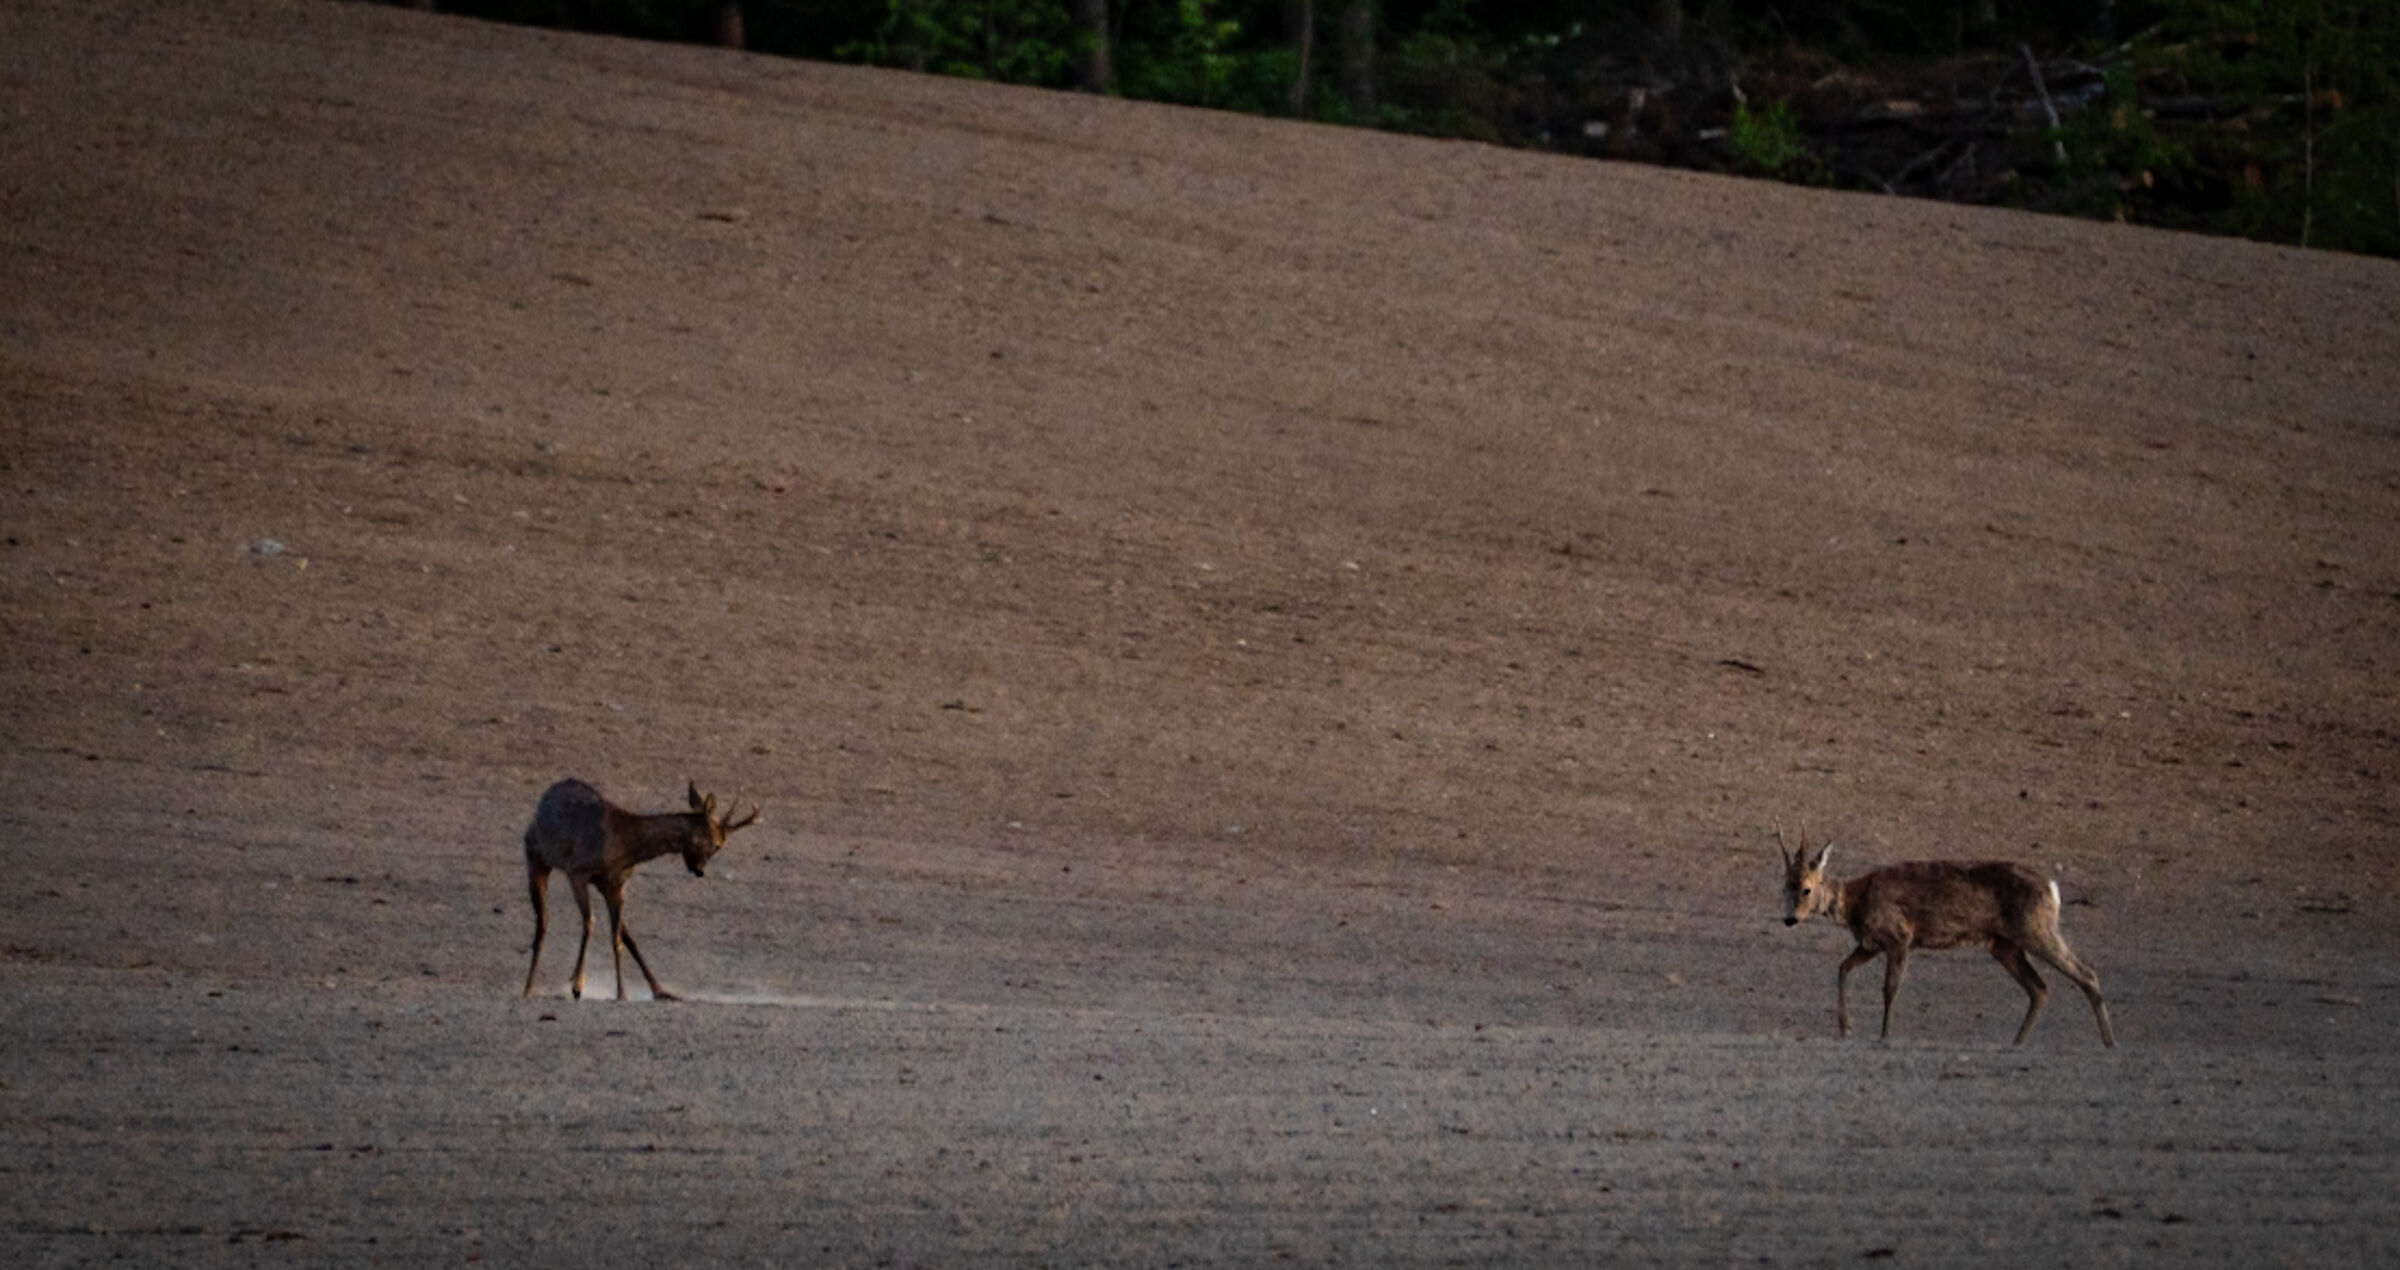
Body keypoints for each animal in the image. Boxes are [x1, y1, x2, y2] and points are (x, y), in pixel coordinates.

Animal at [521, 778, 758, 1002]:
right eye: (717, 844)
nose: (699, 870)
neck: (623, 847)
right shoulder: (576, 871)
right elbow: (590, 923)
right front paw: (577, 984)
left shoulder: (616, 884)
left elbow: (617, 937)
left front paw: (621, 992)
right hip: (536, 854)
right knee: (543, 921)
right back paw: (528, 988)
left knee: (625, 932)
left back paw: (661, 991)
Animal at [1777, 825, 2115, 1047]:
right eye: (1784, 886)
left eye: (1807, 888)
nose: (1790, 919)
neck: (1857, 901)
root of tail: (2052, 888)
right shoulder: (1871, 943)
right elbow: (1843, 968)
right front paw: (1845, 1028)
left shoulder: (1900, 936)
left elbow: (1890, 989)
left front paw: (1884, 1036)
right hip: (2004, 944)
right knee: (2040, 988)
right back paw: (2016, 1043)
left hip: (2037, 928)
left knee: (2086, 974)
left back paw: (2109, 1044)